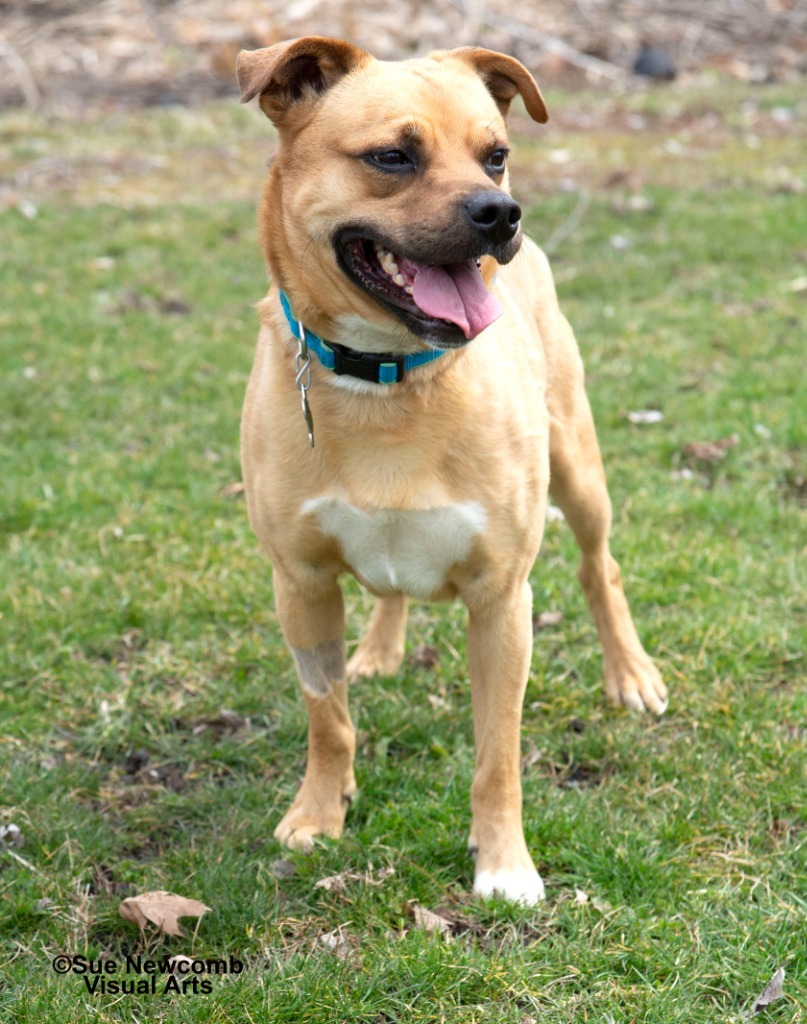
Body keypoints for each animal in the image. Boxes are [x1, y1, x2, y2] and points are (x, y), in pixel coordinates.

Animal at [234, 37, 667, 905]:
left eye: (494, 155)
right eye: (391, 157)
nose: (500, 213)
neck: (386, 378)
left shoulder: (501, 599)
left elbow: (496, 753)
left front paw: (503, 864)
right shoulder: (300, 583)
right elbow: (327, 719)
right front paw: (318, 814)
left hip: (577, 467)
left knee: (599, 566)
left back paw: (629, 673)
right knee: (390, 595)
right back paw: (379, 649)